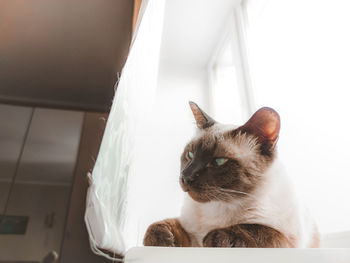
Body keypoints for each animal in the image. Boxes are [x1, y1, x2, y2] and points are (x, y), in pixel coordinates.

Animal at [143, 102, 320, 249]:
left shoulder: (287, 240)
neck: (219, 206)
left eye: (218, 161)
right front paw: (161, 238)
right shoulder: (191, 233)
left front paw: (214, 237)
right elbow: (168, 225)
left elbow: (255, 230)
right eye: (191, 155)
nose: (186, 177)